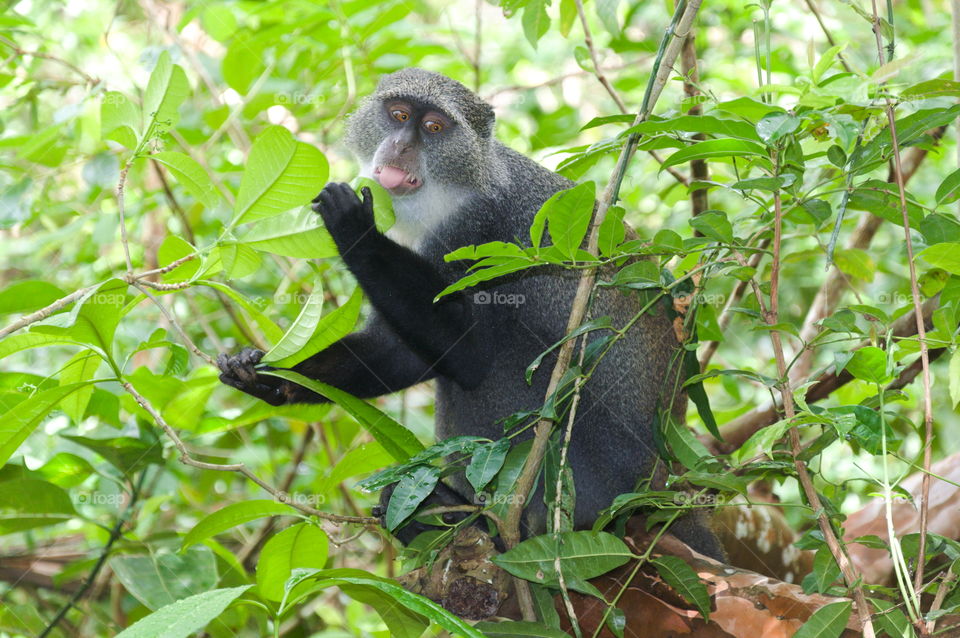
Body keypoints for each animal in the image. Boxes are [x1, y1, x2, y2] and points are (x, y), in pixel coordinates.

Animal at [218, 67, 724, 564]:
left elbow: (470, 355)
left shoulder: (482, 233)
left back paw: (480, 524)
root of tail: (660, 478)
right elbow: (400, 354)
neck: (448, 191)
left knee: (505, 357)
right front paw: (263, 375)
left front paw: (353, 227)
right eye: (399, 115)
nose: (401, 146)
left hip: (588, 463)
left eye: (433, 128)